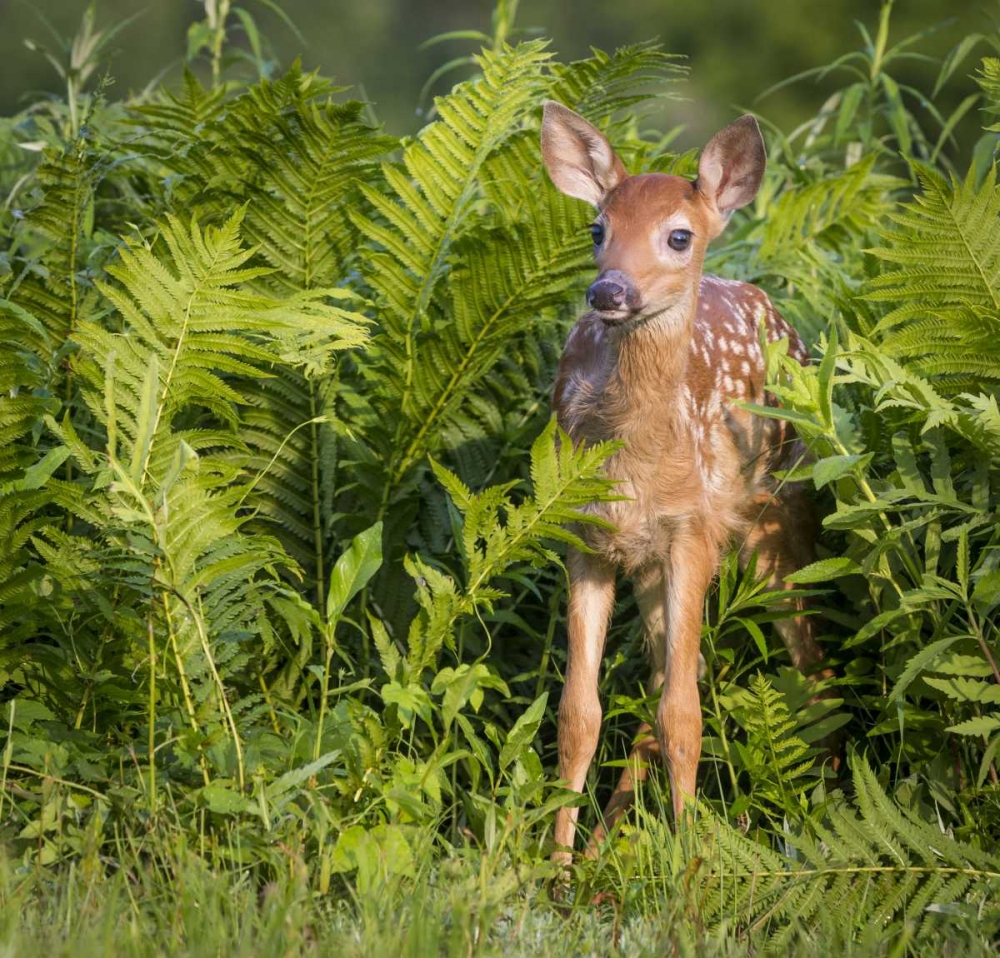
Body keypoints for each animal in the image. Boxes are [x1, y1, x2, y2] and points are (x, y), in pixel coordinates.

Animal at [541, 101, 829, 865]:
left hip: (775, 516)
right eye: (597, 228)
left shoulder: (692, 533)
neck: (636, 464)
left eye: (679, 235)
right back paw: (602, 848)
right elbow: (579, 713)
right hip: (650, 563)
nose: (609, 290)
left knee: (807, 659)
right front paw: (553, 869)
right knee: (670, 672)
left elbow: (684, 716)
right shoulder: (586, 538)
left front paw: (692, 865)